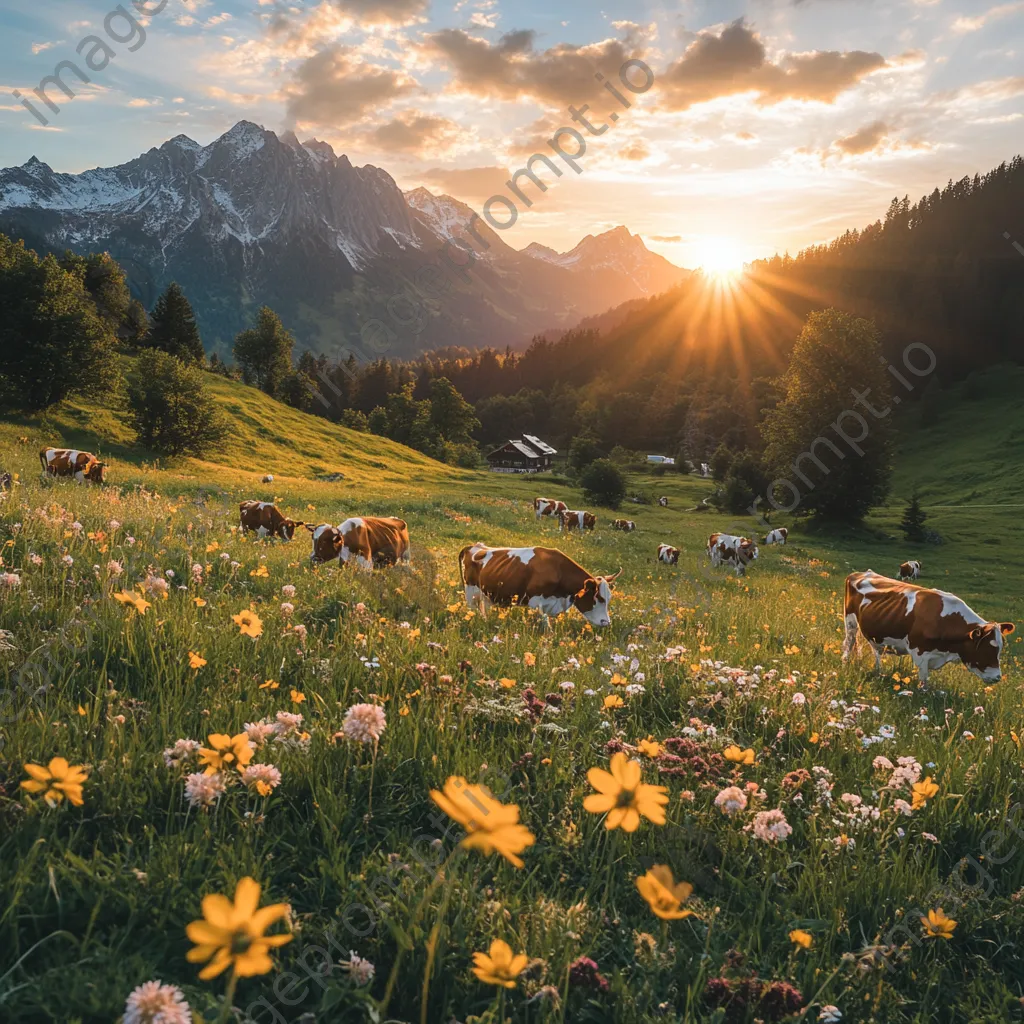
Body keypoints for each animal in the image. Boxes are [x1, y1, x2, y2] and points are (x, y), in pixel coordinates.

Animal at [460, 540, 618, 626]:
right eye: (599, 598)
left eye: (609, 598)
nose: (606, 622)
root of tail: (475, 546)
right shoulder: (536, 603)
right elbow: (546, 626)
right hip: (470, 592)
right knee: (473, 609)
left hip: (486, 594)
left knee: (484, 609)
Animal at [843, 573, 1011, 684]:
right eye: (987, 648)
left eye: (1000, 649)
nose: (997, 677)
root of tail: (859, 573)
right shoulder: (920, 654)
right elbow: (924, 683)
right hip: (850, 622)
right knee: (849, 643)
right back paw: (845, 663)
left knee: (875, 651)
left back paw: (878, 672)